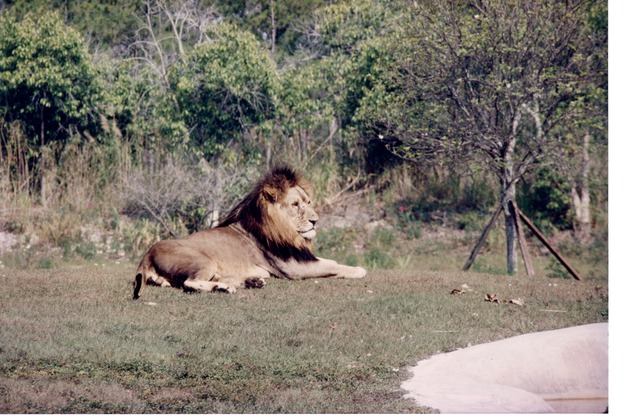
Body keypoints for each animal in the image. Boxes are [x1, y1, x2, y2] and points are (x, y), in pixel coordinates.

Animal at [135, 164, 370, 298]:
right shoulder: (294, 268)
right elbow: (332, 266)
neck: (285, 231)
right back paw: (225, 289)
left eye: (308, 202)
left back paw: (251, 282)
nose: (316, 220)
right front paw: (359, 269)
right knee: (189, 283)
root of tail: (147, 255)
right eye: (295, 205)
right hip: (203, 261)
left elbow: (331, 261)